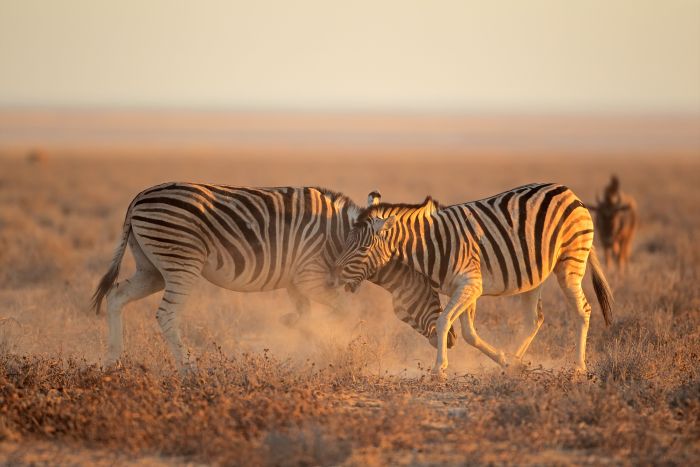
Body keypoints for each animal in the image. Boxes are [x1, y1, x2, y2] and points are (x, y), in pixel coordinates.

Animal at [91, 182, 454, 372]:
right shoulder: (310, 277)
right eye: (433, 293)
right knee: (166, 314)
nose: (449, 341)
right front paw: (333, 344)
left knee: (117, 296)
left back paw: (111, 360)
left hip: (151, 269)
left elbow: (305, 315)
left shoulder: (296, 282)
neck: (341, 238)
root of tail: (139, 197)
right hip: (181, 263)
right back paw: (189, 370)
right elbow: (344, 312)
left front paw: (302, 342)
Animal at [334, 183, 612, 376]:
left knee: (583, 310)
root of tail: (568, 191)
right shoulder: (466, 288)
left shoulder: (470, 284)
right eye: (346, 241)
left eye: (362, 249)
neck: (431, 244)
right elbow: (469, 333)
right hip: (535, 275)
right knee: (534, 319)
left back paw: (578, 367)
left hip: (571, 262)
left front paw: (439, 369)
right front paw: (502, 360)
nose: (334, 274)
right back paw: (515, 362)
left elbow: (444, 321)